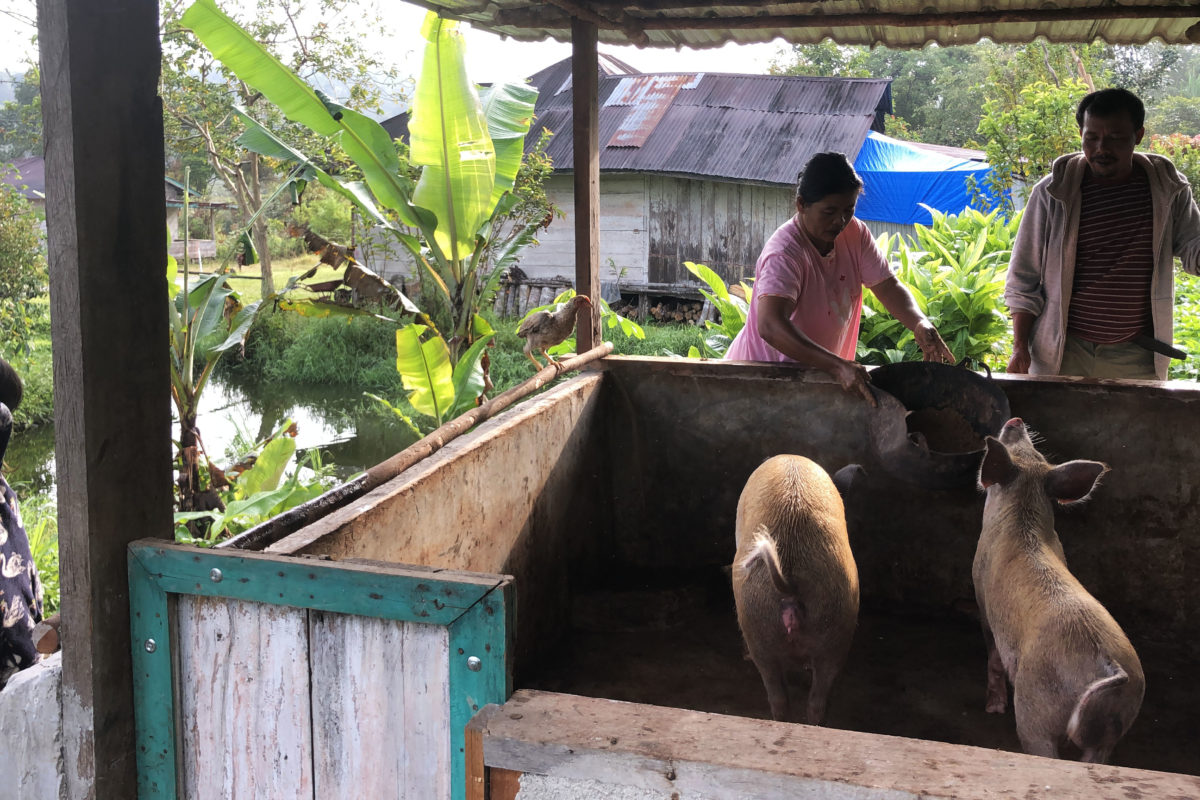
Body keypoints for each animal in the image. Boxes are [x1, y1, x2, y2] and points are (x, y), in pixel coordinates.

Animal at [974, 419, 1142, 762]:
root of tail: (1110, 668)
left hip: (1036, 709)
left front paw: (992, 708)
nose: (1015, 421)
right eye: (1034, 452)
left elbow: (993, 655)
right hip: (1116, 721)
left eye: (1019, 448)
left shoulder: (981, 598)